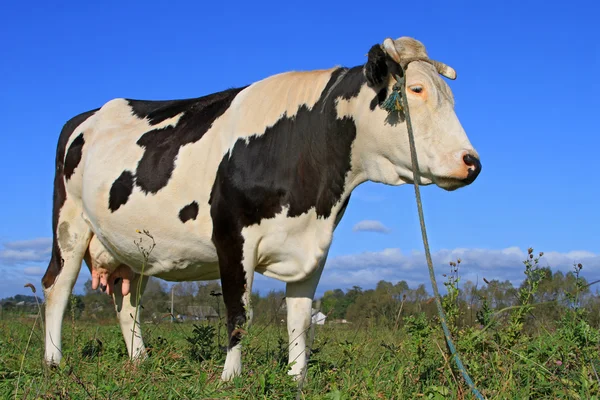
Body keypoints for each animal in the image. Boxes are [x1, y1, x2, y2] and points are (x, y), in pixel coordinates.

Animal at [41, 36, 482, 380]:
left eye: (449, 97)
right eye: (416, 90)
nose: (472, 162)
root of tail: (86, 115)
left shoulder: (314, 245)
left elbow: (300, 319)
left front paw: (297, 380)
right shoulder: (232, 237)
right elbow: (239, 314)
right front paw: (230, 379)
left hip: (135, 249)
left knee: (128, 302)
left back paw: (141, 362)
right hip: (69, 226)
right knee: (55, 287)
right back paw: (54, 363)